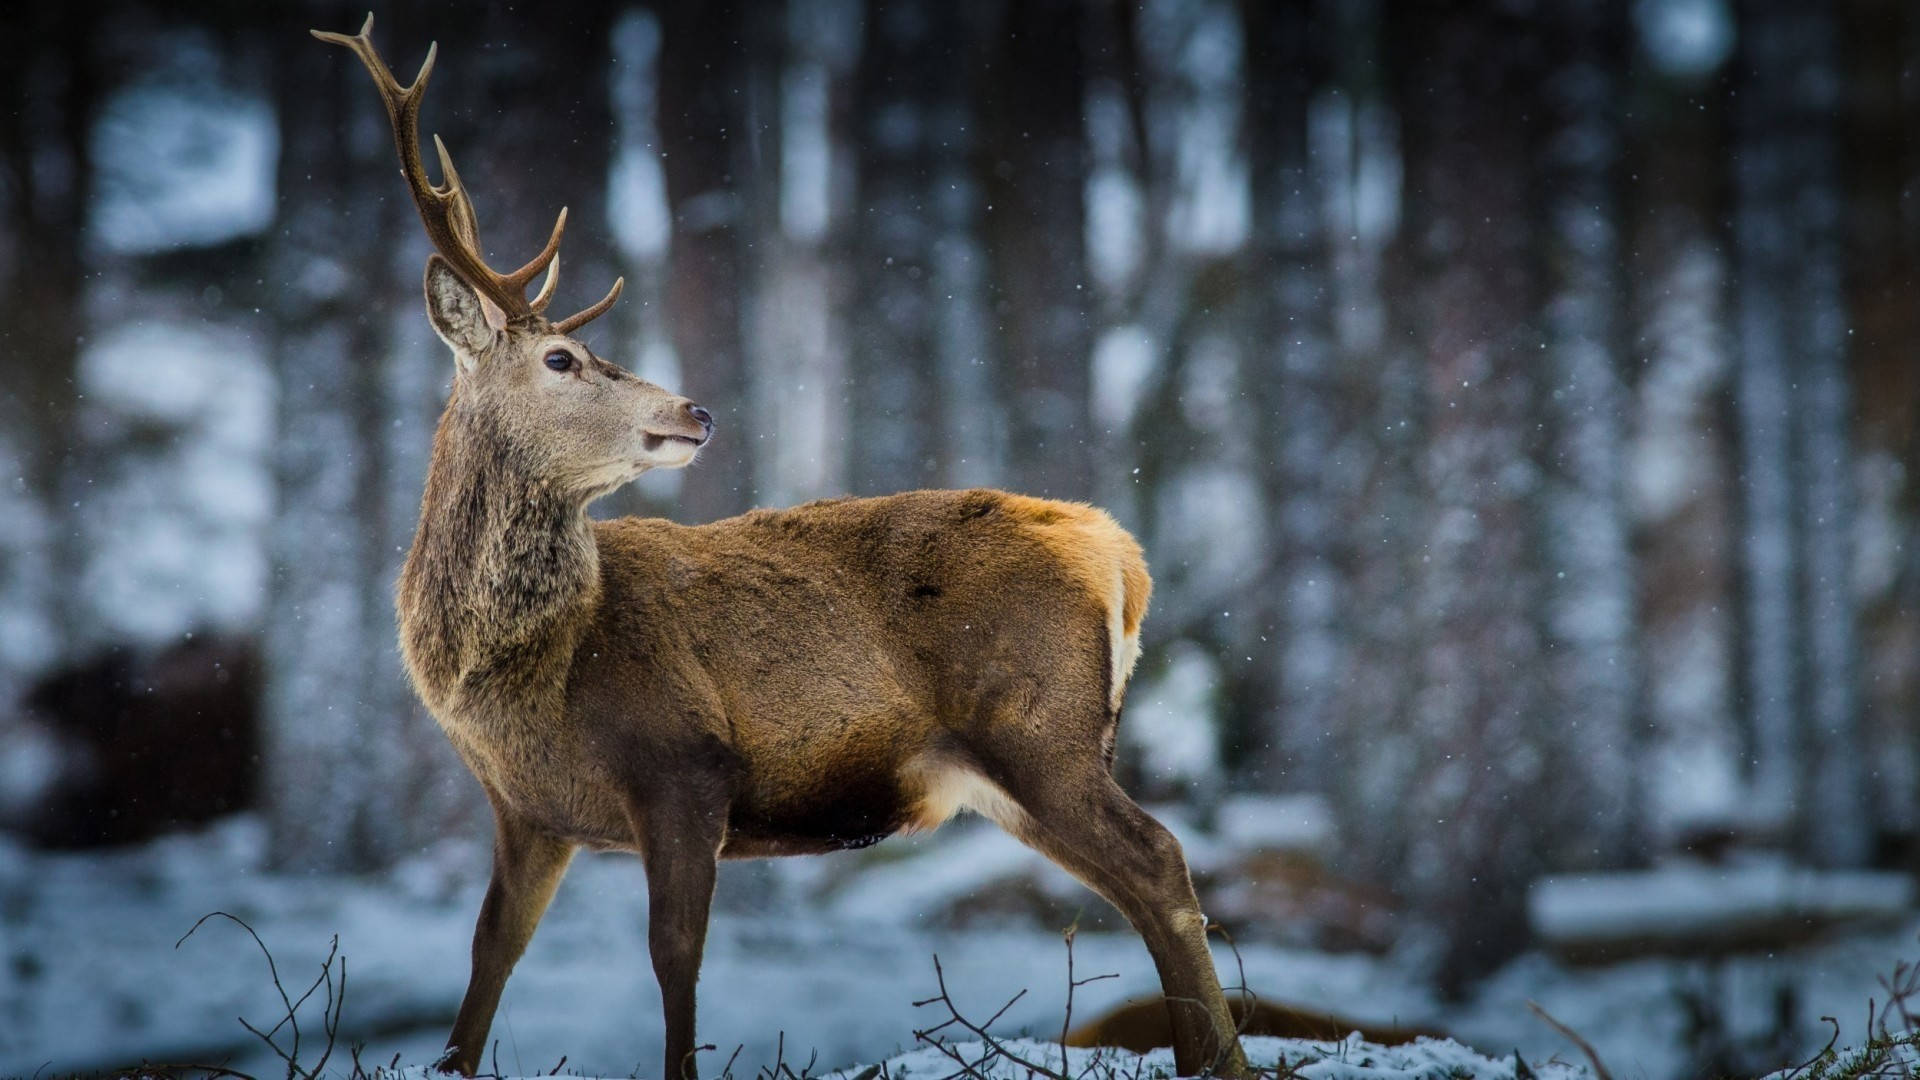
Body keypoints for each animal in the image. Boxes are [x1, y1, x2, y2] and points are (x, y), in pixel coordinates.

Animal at [312, 16, 1251, 1080]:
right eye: (561, 358)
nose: (697, 411)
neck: (528, 672)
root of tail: (1118, 552)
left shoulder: (684, 761)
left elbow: (675, 956)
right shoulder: (527, 811)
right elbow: (488, 959)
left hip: (1037, 725)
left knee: (1159, 859)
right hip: (1017, 764)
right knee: (1136, 882)